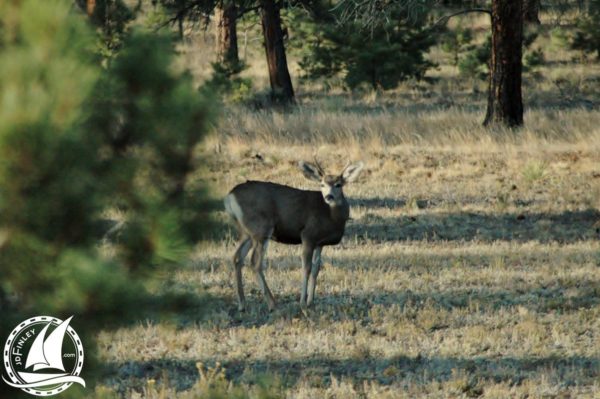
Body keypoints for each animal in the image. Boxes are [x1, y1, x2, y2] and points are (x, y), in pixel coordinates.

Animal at [224, 159, 364, 312]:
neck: (331, 216)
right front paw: (303, 303)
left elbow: (316, 268)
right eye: (322, 184)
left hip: (247, 232)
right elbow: (306, 268)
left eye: (338, 184)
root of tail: (230, 196)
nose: (329, 197)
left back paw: (242, 304)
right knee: (255, 262)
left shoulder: (320, 243)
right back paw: (272, 304)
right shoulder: (308, 235)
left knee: (237, 258)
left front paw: (311, 301)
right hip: (261, 227)